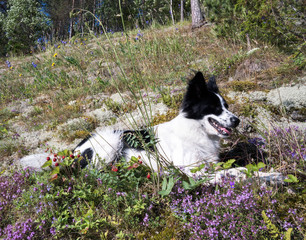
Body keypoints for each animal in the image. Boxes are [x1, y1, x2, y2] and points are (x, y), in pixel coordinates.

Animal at [73, 71, 239, 174]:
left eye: (226, 106)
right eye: (215, 107)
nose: (237, 121)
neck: (196, 129)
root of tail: (73, 151)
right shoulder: (192, 171)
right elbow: (225, 174)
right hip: (111, 141)